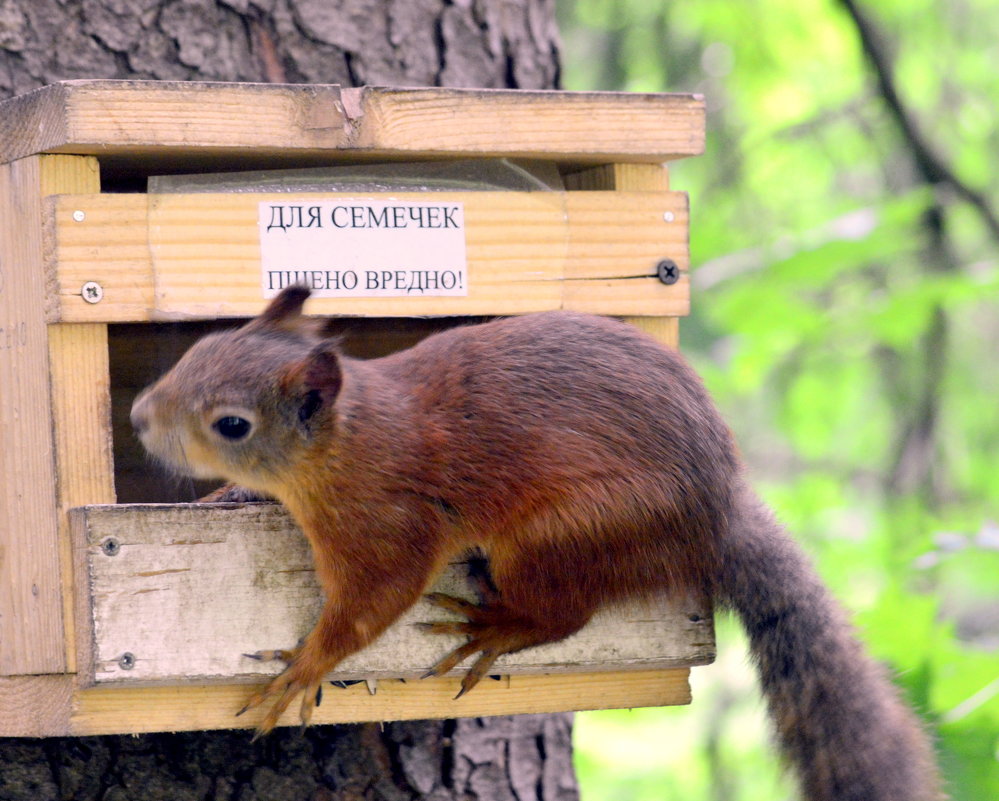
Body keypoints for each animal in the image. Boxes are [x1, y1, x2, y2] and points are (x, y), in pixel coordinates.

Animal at [133, 284, 944, 796]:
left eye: (231, 424)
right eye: (198, 348)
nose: (139, 416)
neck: (346, 443)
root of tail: (716, 514)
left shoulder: (388, 525)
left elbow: (370, 607)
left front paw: (304, 669)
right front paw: (224, 495)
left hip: (560, 536)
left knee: (564, 614)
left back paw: (496, 623)